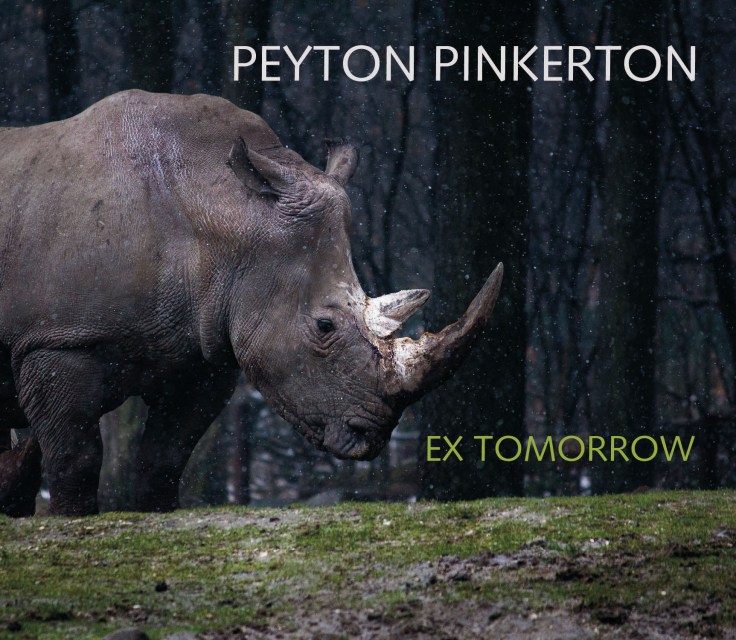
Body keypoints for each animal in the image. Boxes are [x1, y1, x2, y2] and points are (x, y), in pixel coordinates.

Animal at [0, 90, 503, 516]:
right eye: (323, 327)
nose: (370, 435)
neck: (228, 215)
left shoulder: (200, 356)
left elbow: (164, 458)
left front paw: (154, 513)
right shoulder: (59, 340)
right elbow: (75, 459)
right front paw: (72, 521)